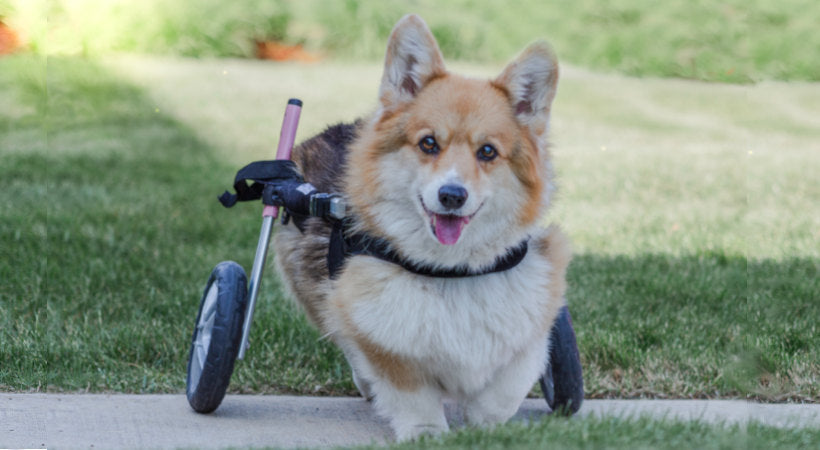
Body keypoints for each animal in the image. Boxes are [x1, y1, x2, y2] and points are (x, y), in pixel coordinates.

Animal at [276, 14, 572, 442]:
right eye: (429, 143)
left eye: (487, 152)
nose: (452, 195)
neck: (452, 271)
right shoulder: (374, 327)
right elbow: (409, 389)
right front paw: (426, 432)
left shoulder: (535, 317)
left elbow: (508, 386)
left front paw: (488, 428)